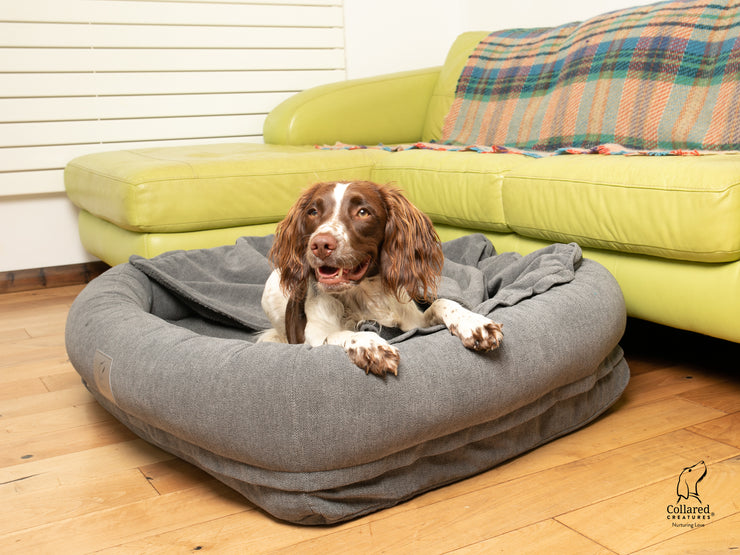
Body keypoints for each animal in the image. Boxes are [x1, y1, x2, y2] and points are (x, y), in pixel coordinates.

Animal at [258, 180, 506, 376]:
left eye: (363, 212)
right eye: (313, 212)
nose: (320, 245)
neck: (363, 297)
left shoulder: (414, 323)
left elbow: (442, 303)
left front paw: (474, 322)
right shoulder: (313, 338)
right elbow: (340, 334)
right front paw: (369, 345)